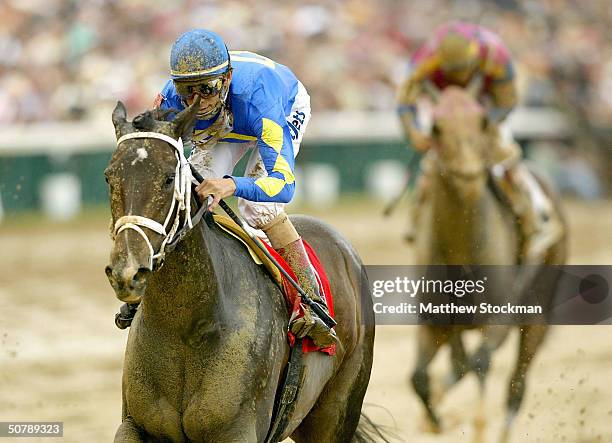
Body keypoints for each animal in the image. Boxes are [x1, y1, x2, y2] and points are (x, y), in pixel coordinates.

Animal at [408, 86, 568, 443]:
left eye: (482, 121)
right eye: (436, 126)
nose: (468, 172)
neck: (461, 252)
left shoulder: (499, 319)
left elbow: (481, 362)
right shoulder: (432, 322)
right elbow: (419, 377)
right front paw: (435, 420)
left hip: (537, 314)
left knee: (515, 386)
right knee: (457, 366)